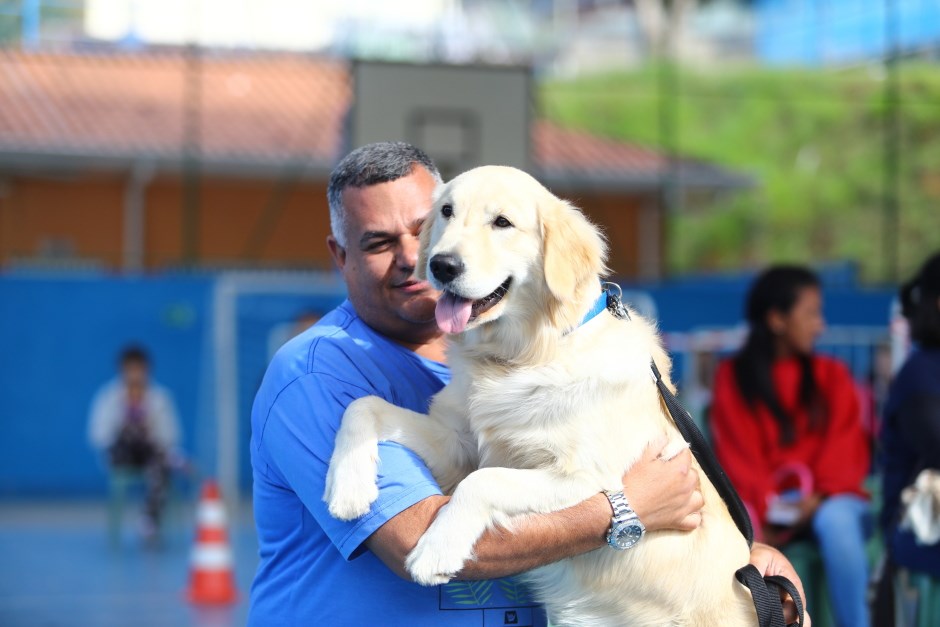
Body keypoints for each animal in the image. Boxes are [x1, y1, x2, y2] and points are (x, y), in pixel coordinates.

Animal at [324, 164, 756, 624]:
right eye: (445, 211)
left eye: (502, 223)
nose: (442, 265)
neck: (522, 356)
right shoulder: (455, 443)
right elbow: (362, 404)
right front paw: (347, 486)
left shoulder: (586, 475)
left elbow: (484, 480)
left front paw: (435, 551)